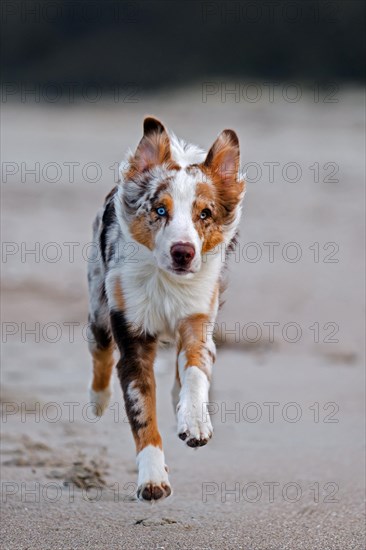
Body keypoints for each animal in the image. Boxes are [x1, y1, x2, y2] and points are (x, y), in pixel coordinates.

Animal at [87, 117, 244, 504]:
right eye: (160, 210)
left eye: (205, 213)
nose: (183, 252)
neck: (166, 282)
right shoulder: (133, 339)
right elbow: (143, 415)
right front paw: (153, 479)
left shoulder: (199, 318)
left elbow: (195, 368)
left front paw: (195, 420)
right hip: (98, 306)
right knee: (99, 350)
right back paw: (98, 400)